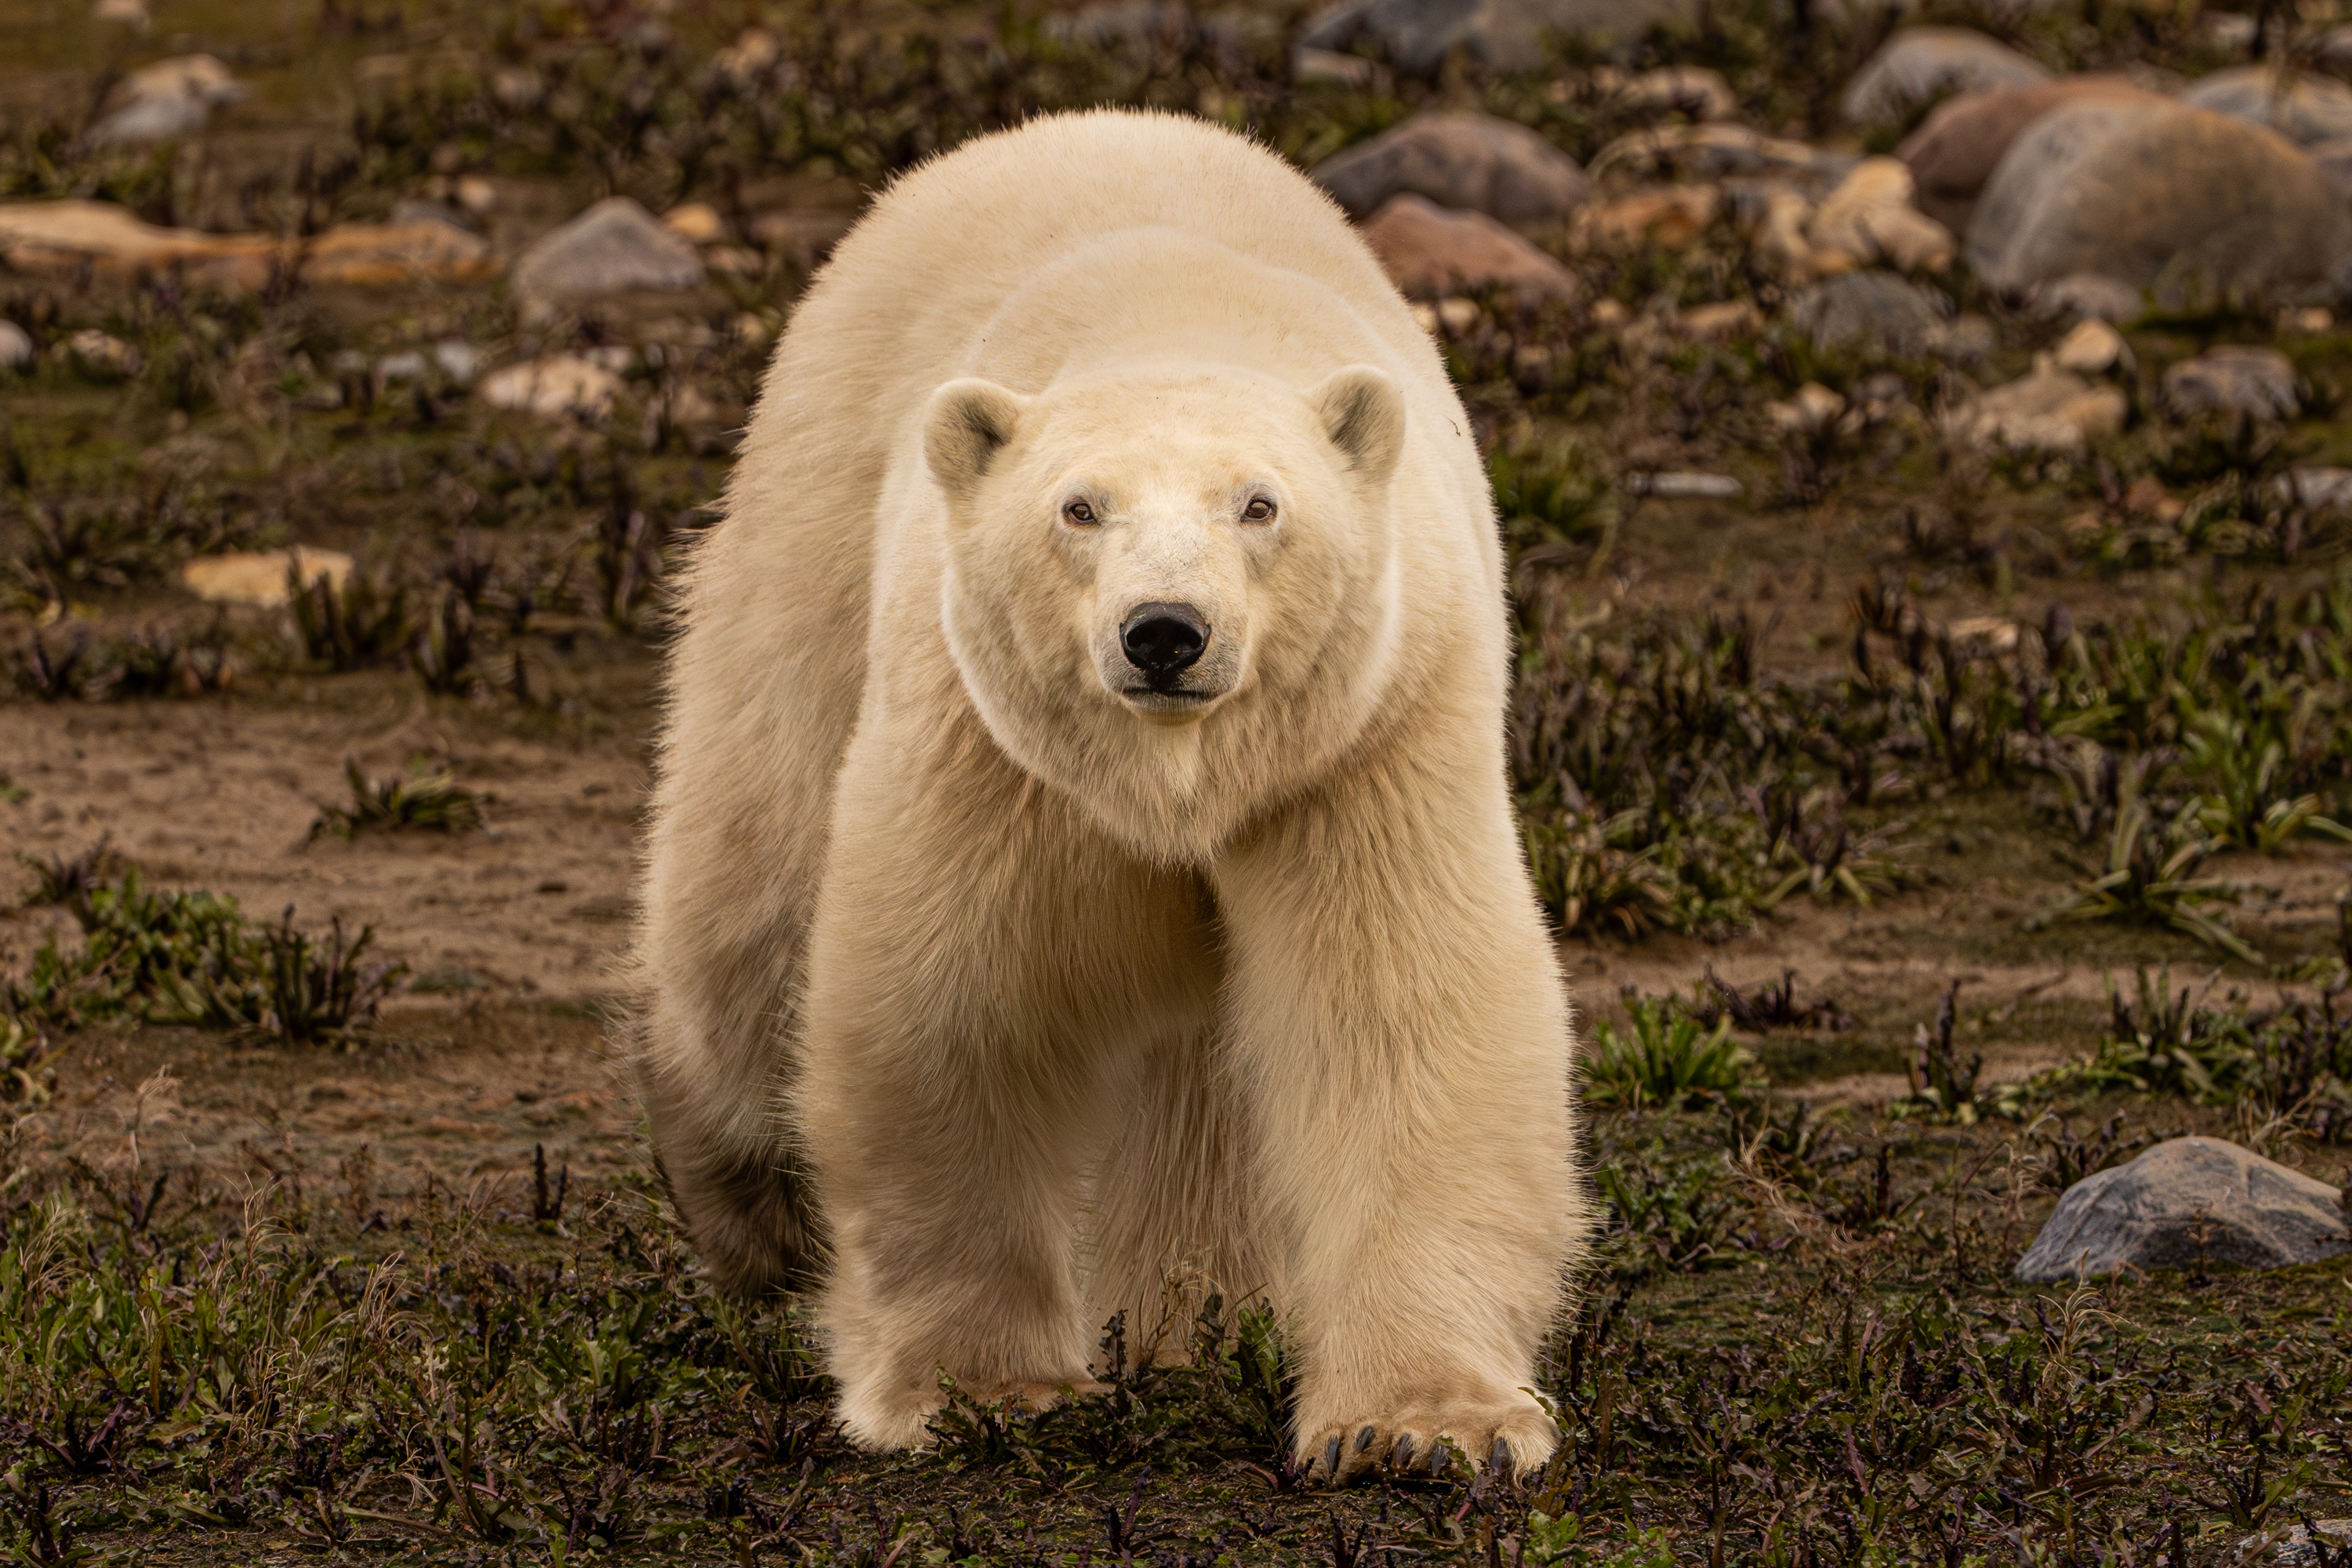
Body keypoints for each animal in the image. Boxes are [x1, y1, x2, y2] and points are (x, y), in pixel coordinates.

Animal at [635, 107, 1587, 1481]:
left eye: (1261, 504)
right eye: (1078, 508)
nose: (1165, 633)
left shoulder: (1367, 743)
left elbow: (1399, 1018)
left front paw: (1418, 1427)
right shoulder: (991, 748)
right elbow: (960, 1005)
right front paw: (984, 1387)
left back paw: (1197, 1314)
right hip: (809, 529)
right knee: (752, 888)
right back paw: (744, 1209)